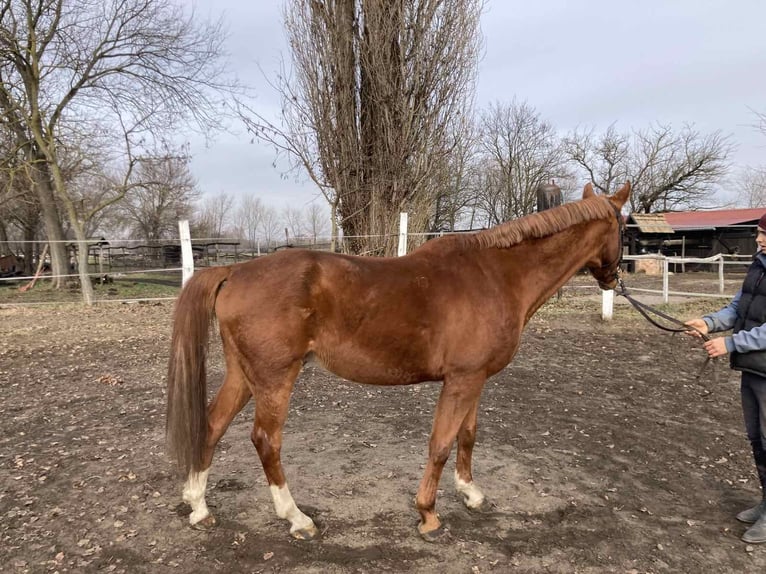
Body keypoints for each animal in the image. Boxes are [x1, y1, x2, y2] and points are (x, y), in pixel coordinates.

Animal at [166, 182, 632, 544]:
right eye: (626, 227)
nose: (614, 278)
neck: (497, 275)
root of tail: (234, 272)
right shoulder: (461, 380)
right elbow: (440, 444)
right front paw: (428, 514)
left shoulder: (475, 379)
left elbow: (467, 436)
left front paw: (471, 494)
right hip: (275, 378)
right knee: (266, 440)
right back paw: (297, 518)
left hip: (244, 376)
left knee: (212, 424)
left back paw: (199, 507)